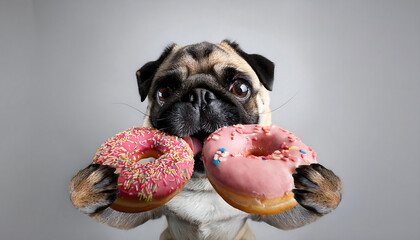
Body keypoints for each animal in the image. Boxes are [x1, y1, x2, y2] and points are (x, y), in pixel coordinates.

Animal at [69, 40, 342, 239]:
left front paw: (322, 184)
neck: (206, 187)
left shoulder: (270, 208)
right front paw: (91, 183)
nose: (199, 95)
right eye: (163, 92)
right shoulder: (141, 209)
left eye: (240, 89)